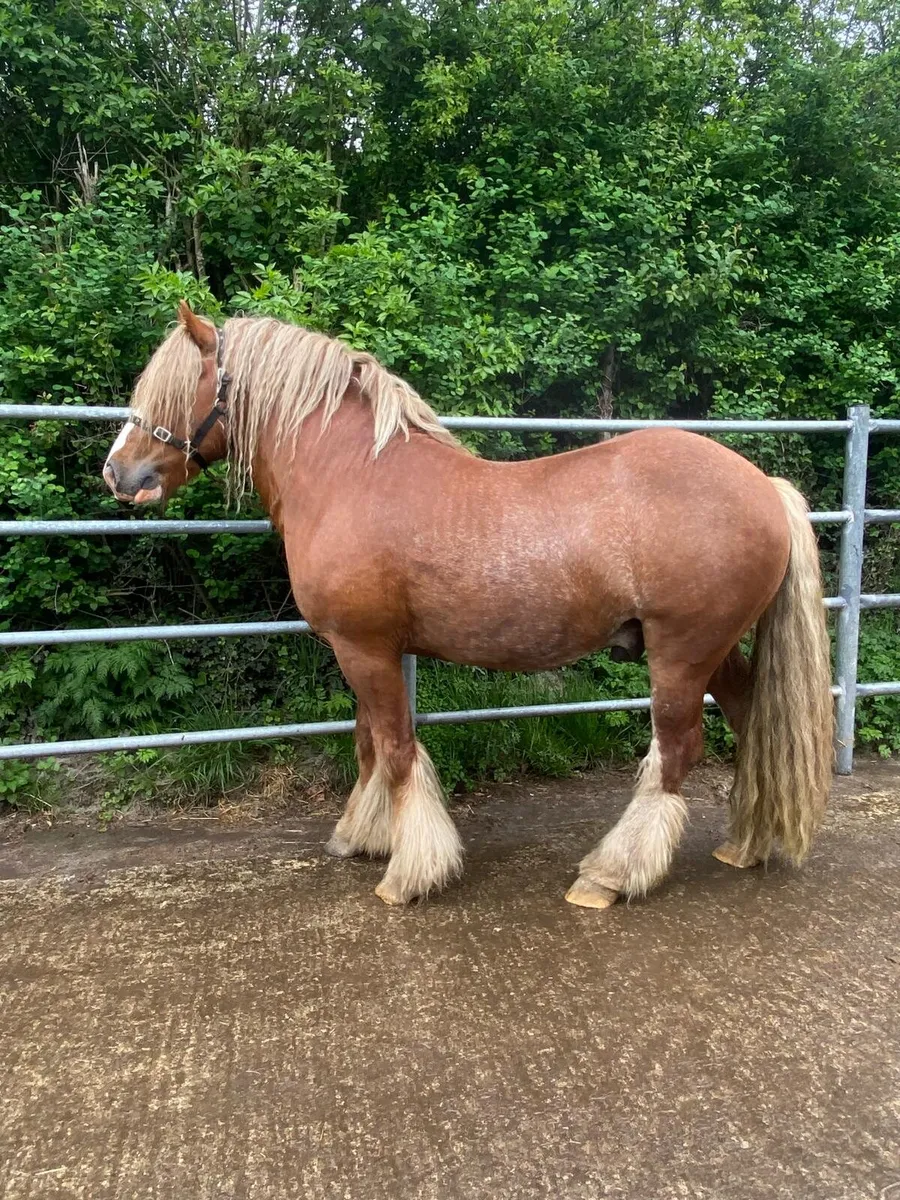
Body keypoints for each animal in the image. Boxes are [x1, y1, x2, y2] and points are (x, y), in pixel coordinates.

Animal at [103, 302, 833, 909]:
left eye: (177, 386)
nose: (119, 473)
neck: (350, 476)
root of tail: (764, 487)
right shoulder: (369, 650)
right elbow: (370, 746)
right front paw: (363, 836)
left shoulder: (365, 649)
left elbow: (396, 750)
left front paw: (408, 874)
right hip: (716, 651)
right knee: (750, 721)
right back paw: (747, 843)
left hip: (680, 654)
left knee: (676, 752)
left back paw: (608, 876)